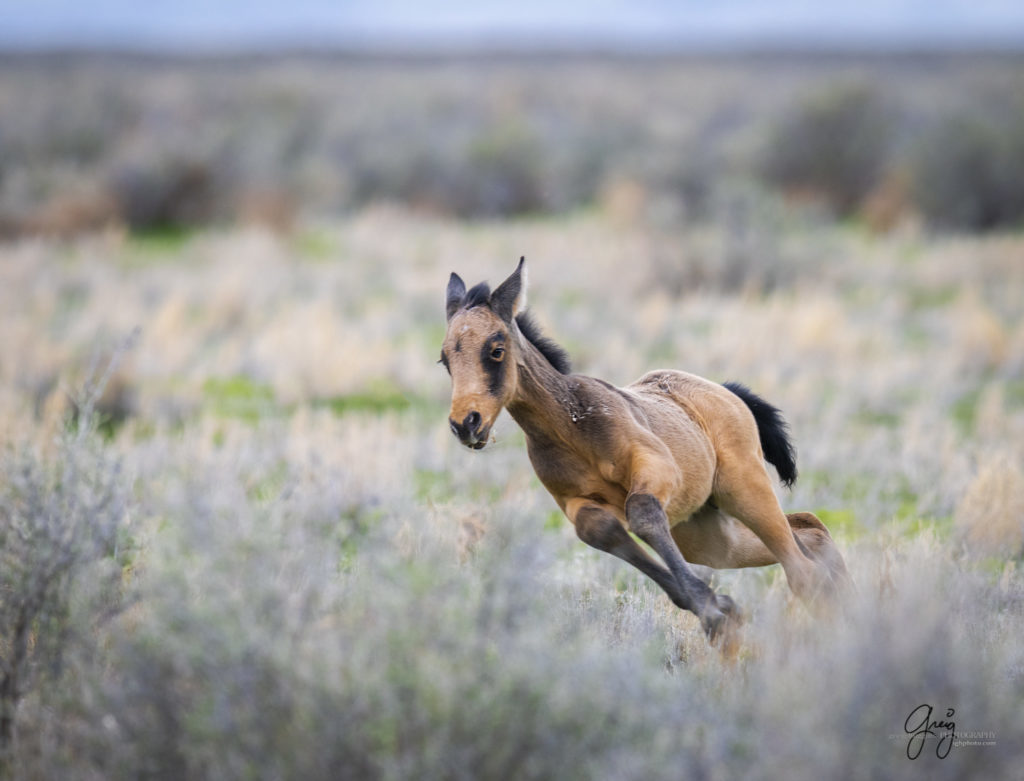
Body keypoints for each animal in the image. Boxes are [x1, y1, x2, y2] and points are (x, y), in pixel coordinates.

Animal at [440, 259, 847, 642]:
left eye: (496, 349)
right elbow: (601, 531)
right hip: (706, 536)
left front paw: (713, 610)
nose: (466, 424)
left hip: (744, 489)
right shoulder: (575, 503)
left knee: (802, 569)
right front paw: (717, 608)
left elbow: (642, 513)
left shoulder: (657, 469)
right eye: (446, 359)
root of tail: (725, 391)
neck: (571, 427)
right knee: (808, 530)